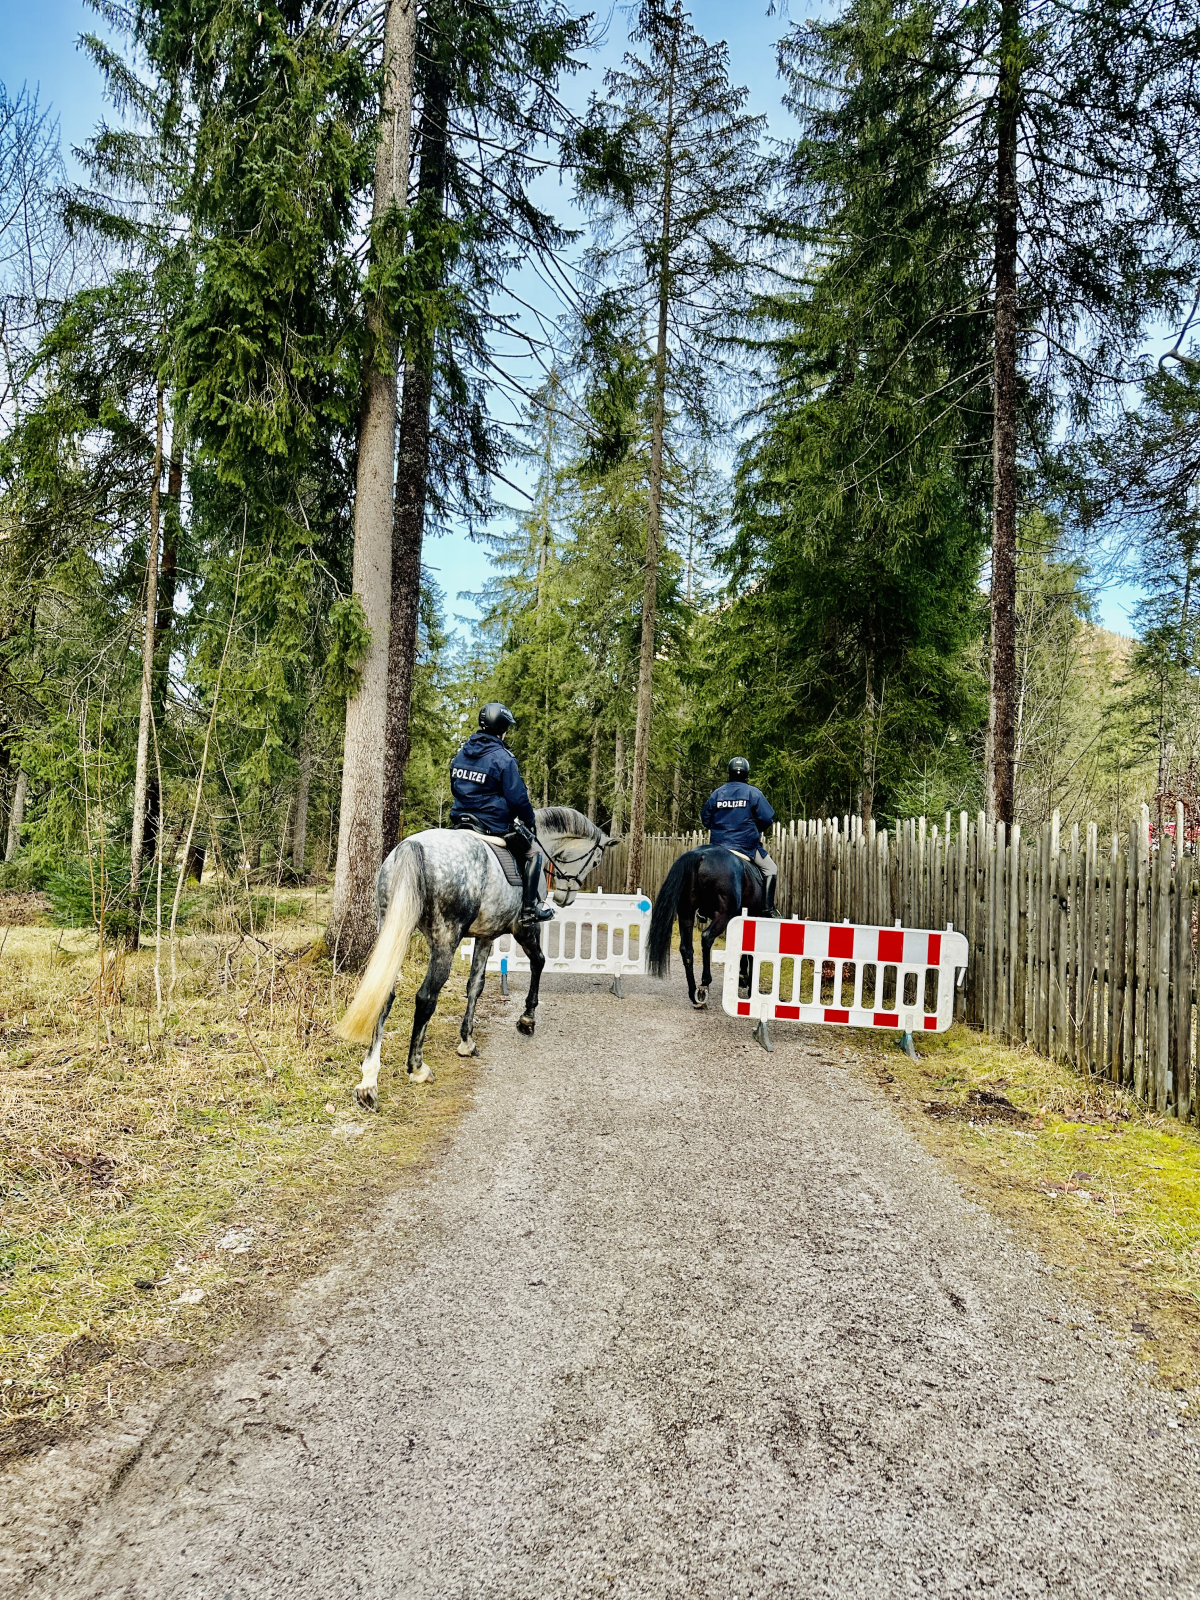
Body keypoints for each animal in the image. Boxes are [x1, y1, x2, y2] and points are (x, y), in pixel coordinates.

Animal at [340, 806, 614, 1107]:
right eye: (596, 861)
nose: (566, 898)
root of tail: (412, 846)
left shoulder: (485, 935)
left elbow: (475, 985)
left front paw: (466, 1040)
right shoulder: (524, 928)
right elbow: (538, 962)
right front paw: (526, 1019)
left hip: (393, 929)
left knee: (384, 994)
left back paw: (368, 1081)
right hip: (445, 940)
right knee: (425, 997)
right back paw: (417, 1069)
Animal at [649, 844, 771, 1004]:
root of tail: (699, 855)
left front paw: (743, 977)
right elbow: (749, 951)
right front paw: (749, 985)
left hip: (686, 914)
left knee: (686, 949)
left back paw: (693, 992)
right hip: (723, 915)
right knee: (707, 937)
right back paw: (704, 984)